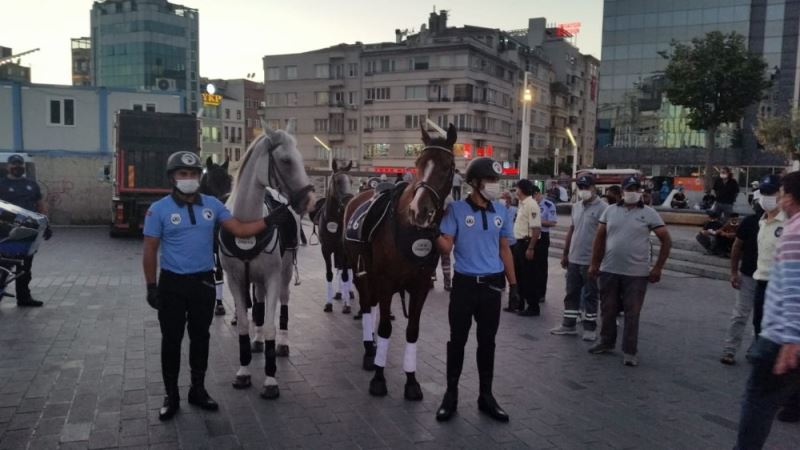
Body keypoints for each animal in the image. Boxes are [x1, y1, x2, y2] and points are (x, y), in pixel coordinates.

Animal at [223, 128, 318, 400]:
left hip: (284, 273)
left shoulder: (274, 277)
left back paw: (283, 344)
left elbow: (269, 327)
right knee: (259, 303)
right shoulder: (235, 280)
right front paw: (243, 371)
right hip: (255, 279)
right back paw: (255, 342)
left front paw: (270, 379)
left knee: (283, 304)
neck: (246, 225)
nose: (310, 200)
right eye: (285, 160)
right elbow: (246, 323)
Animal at [344, 123, 456, 400]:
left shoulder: (420, 286)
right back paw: (369, 349)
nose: (420, 210)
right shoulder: (385, 282)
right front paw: (379, 378)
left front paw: (411, 381)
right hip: (361, 272)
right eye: (418, 163)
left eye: (447, 166)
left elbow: (412, 331)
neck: (410, 231)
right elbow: (385, 327)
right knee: (366, 305)